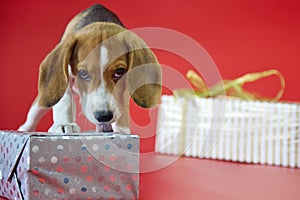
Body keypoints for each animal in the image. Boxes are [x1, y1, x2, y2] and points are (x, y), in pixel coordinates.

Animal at [17, 3, 161, 134]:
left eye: (119, 72)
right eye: (83, 73)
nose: (104, 116)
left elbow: (122, 104)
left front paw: (122, 129)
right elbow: (64, 99)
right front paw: (64, 123)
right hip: (42, 101)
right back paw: (24, 129)